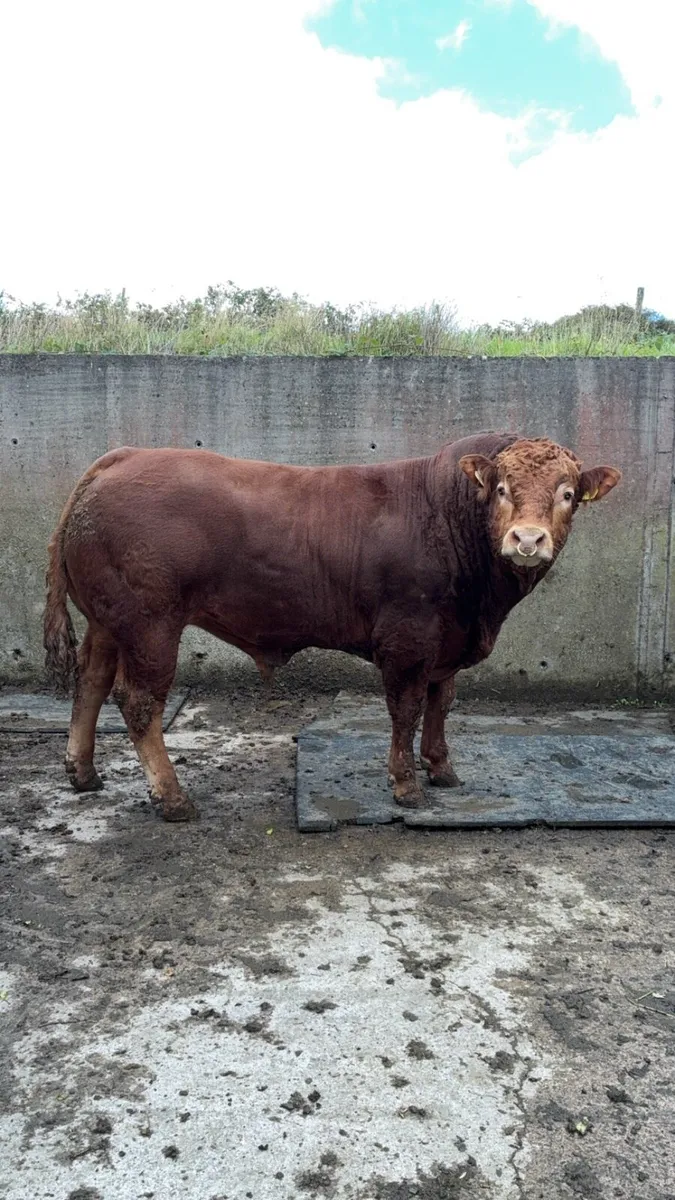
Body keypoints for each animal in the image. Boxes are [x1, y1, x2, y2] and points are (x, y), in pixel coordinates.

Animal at [43, 433, 621, 822]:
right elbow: (407, 708)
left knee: (90, 683)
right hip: (150, 624)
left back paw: (83, 773)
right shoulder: (408, 638)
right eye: (500, 488)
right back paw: (173, 798)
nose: (528, 539)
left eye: (568, 494)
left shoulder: (446, 642)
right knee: (139, 702)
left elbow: (442, 702)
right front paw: (406, 785)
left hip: (107, 621)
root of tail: (119, 458)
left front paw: (442, 769)